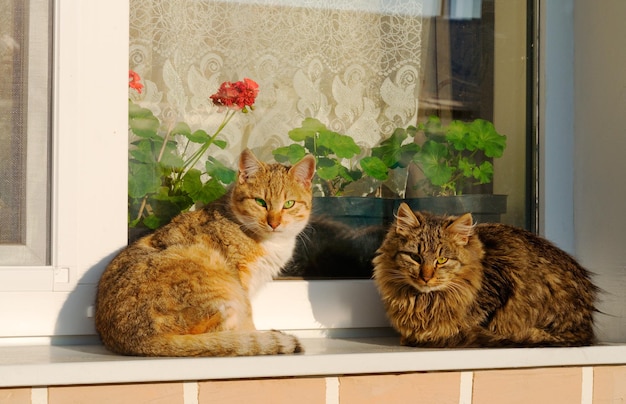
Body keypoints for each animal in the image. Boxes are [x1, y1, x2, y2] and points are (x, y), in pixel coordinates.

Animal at [95, 149, 314, 356]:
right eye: (260, 202)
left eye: (289, 204)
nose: (274, 223)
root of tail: (136, 341)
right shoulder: (241, 282)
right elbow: (247, 317)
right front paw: (254, 335)